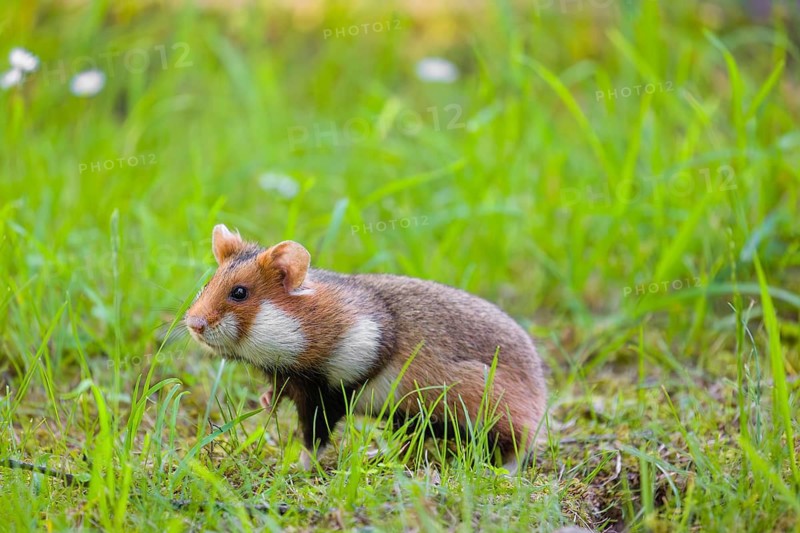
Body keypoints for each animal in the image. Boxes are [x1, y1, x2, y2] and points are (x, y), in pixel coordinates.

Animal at [185, 224, 547, 473]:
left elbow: (314, 439)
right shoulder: (292, 382)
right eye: (208, 283)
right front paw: (265, 403)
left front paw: (294, 468)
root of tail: (541, 394)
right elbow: (279, 397)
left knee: (520, 444)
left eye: (240, 293)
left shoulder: (328, 393)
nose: (193, 324)